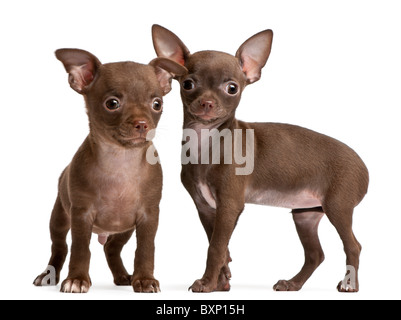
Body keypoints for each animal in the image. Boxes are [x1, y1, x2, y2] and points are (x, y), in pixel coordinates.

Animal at [32, 48, 186, 292]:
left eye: (157, 104)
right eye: (112, 103)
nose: (143, 123)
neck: (120, 159)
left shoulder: (148, 216)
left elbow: (145, 249)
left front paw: (145, 279)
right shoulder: (81, 215)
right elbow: (80, 249)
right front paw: (77, 279)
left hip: (124, 229)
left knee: (111, 248)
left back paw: (122, 275)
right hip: (59, 218)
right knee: (59, 247)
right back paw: (48, 275)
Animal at [152, 24, 368, 292]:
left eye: (232, 88)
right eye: (188, 84)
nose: (207, 103)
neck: (205, 140)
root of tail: (363, 165)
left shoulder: (229, 205)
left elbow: (216, 247)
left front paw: (207, 283)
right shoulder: (205, 208)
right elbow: (220, 246)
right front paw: (221, 282)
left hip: (337, 207)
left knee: (353, 246)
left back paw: (349, 284)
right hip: (305, 214)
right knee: (315, 254)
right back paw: (292, 284)